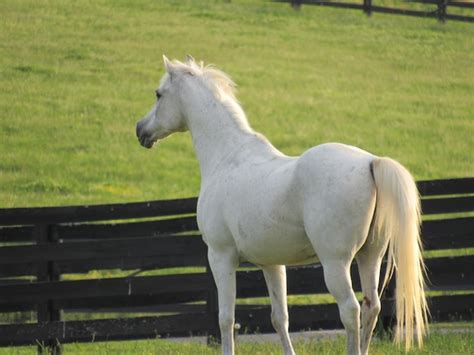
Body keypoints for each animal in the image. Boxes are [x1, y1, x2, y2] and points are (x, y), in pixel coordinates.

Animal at [135, 56, 428, 355]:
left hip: (336, 263)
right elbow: (280, 318)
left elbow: (226, 318)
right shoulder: (272, 264)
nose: (140, 130)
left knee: (351, 310)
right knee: (371, 307)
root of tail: (370, 162)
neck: (228, 156)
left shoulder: (220, 256)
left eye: (159, 94)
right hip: (371, 257)